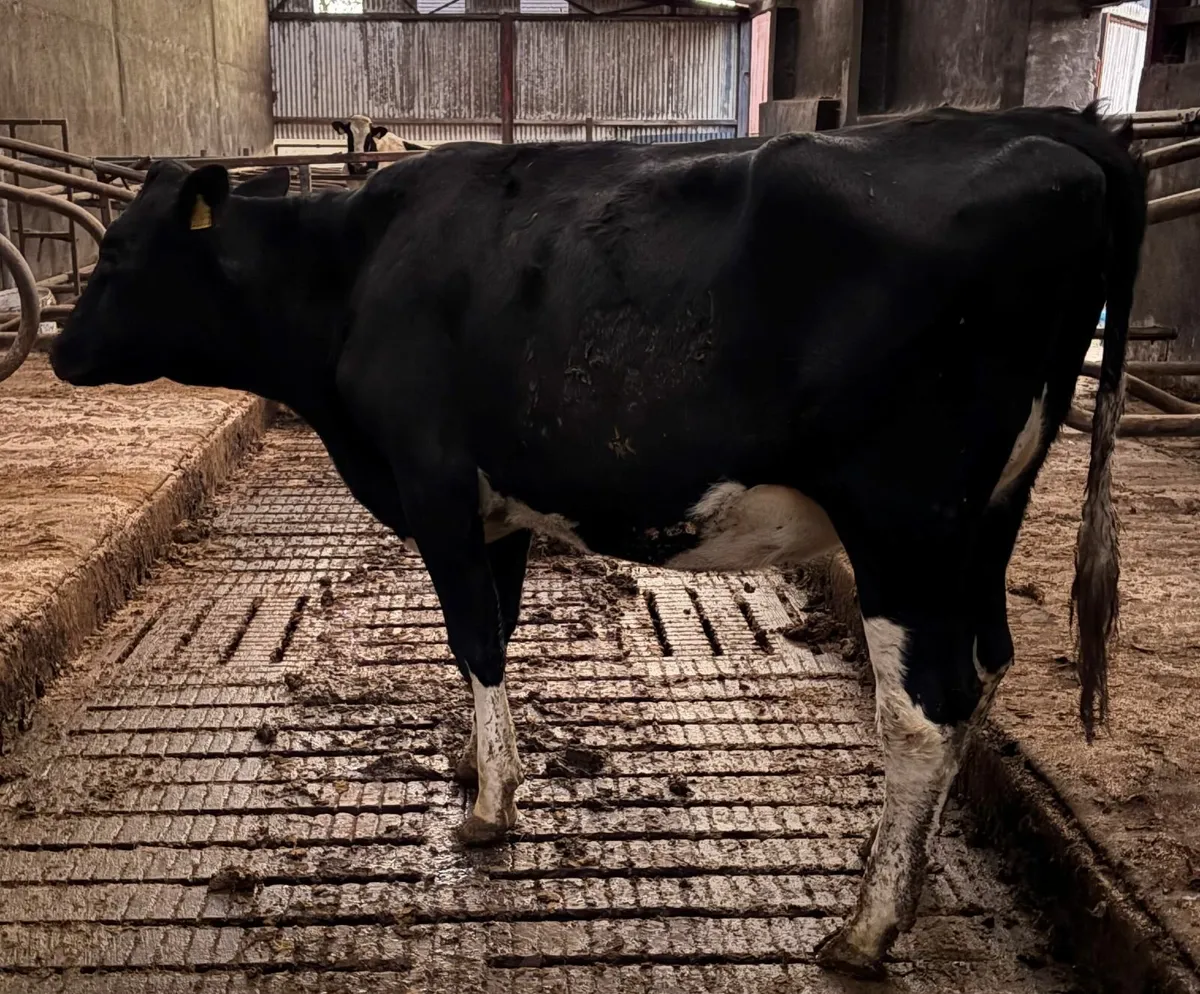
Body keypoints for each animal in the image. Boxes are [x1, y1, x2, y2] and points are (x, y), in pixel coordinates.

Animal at [48, 104, 1146, 979]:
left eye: (117, 251)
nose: (57, 351)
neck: (350, 273)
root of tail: (1058, 130)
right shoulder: (497, 509)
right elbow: (495, 636)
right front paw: (475, 763)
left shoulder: (433, 482)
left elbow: (474, 638)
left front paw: (489, 807)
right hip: (989, 515)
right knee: (986, 670)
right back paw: (910, 875)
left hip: (903, 519)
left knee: (925, 709)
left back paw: (867, 928)